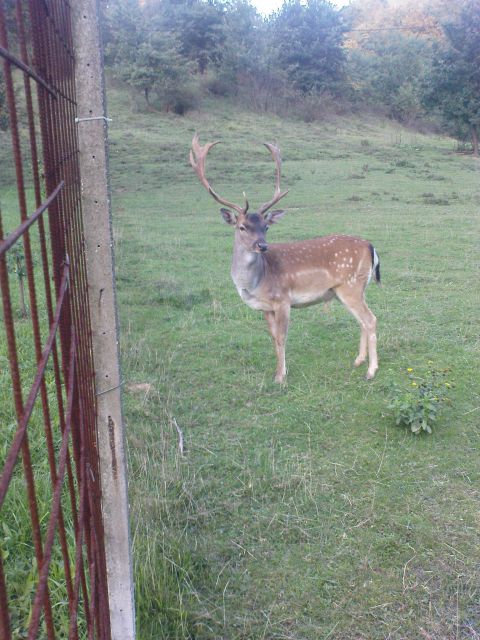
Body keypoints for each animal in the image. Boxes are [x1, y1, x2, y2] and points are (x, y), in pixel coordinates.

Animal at [189, 134, 380, 384]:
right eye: (242, 226)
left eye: (266, 226)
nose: (262, 245)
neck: (255, 282)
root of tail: (370, 246)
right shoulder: (265, 308)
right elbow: (273, 338)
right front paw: (278, 371)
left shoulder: (283, 300)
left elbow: (281, 337)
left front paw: (280, 377)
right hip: (349, 290)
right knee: (362, 321)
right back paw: (358, 361)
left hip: (351, 286)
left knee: (370, 319)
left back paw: (371, 370)